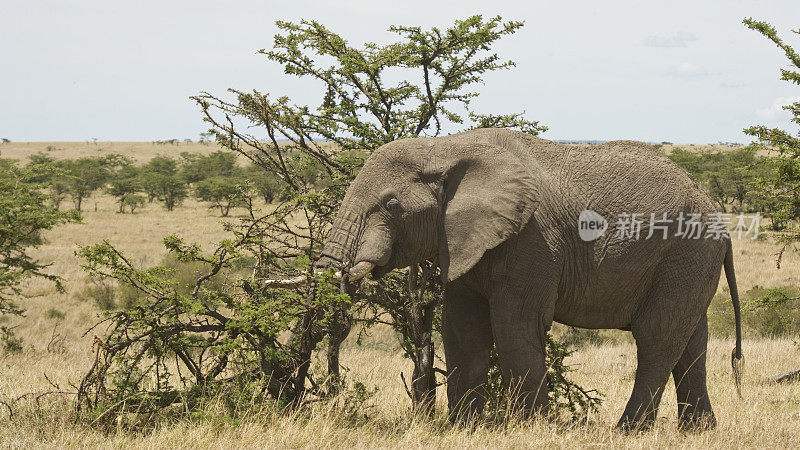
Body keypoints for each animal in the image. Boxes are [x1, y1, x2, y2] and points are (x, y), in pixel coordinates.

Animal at [314, 126, 744, 428]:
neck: (446, 147)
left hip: (686, 252)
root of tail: (717, 217)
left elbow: (514, 327)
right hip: (690, 261)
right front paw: (464, 429)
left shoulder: (532, 240)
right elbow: (462, 329)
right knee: (691, 339)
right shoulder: (462, 238)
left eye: (391, 205)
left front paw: (529, 428)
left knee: (658, 336)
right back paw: (699, 431)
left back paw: (628, 431)